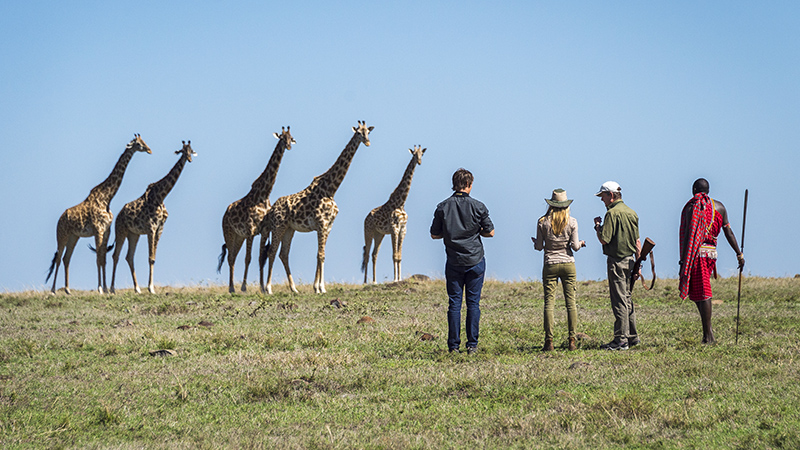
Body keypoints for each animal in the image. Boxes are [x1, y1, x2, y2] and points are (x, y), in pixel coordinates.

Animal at [46, 134, 152, 296]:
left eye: (144, 141)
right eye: (138, 144)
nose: (149, 150)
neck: (107, 198)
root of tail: (59, 219)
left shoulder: (106, 230)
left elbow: (103, 258)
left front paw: (107, 288)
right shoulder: (98, 229)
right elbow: (98, 259)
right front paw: (101, 288)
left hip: (73, 236)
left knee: (66, 258)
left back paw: (68, 290)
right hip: (61, 234)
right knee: (58, 258)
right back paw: (53, 290)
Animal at [110, 142, 198, 296]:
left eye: (191, 150)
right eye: (182, 151)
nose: (189, 159)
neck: (161, 196)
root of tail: (118, 215)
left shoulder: (160, 228)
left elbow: (153, 258)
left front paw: (150, 287)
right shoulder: (151, 227)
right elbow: (150, 258)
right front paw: (151, 288)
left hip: (134, 234)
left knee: (129, 256)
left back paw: (137, 288)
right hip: (121, 230)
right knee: (116, 255)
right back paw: (112, 289)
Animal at [217, 127, 296, 296]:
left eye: (291, 137)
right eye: (282, 138)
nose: (288, 146)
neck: (264, 194)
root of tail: (225, 214)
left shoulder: (264, 230)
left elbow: (260, 258)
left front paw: (262, 288)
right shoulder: (250, 231)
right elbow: (248, 258)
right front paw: (244, 287)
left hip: (238, 237)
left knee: (233, 256)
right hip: (229, 232)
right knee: (231, 258)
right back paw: (232, 288)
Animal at [260, 120, 376, 296]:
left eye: (367, 132)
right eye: (358, 133)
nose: (368, 142)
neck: (331, 189)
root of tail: (271, 210)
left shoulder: (328, 226)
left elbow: (321, 255)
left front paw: (319, 287)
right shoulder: (321, 224)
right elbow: (320, 254)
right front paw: (319, 288)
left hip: (289, 229)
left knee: (283, 254)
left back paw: (294, 288)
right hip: (278, 226)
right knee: (272, 252)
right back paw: (268, 289)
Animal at [362, 146, 424, 284]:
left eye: (422, 154)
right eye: (414, 154)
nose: (419, 162)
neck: (400, 203)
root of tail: (366, 218)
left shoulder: (403, 229)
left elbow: (399, 256)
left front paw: (399, 278)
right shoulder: (394, 228)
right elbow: (394, 255)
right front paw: (395, 279)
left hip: (379, 234)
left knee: (374, 254)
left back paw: (374, 281)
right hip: (368, 232)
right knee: (367, 255)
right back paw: (365, 282)